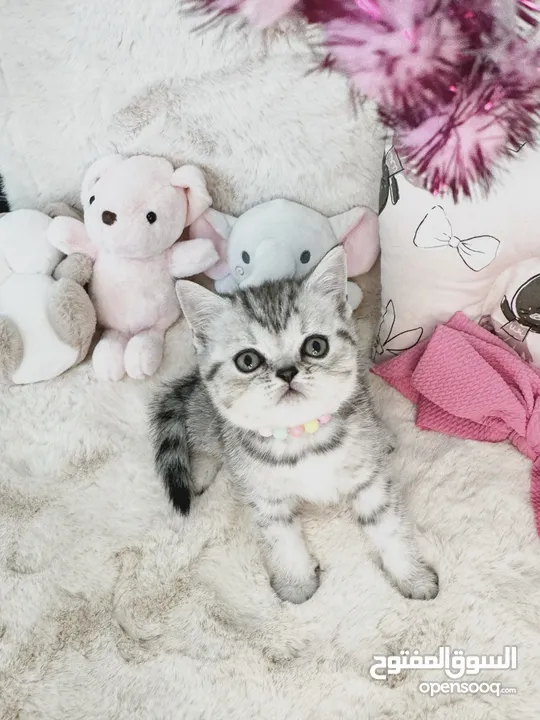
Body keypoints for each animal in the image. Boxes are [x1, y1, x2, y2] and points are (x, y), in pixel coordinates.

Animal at [150, 250, 436, 604]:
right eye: (248, 360)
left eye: (315, 346)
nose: (287, 372)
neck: (305, 438)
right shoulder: (267, 499)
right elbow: (282, 540)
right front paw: (296, 584)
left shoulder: (371, 482)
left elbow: (390, 528)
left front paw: (412, 576)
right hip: (208, 415)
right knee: (200, 427)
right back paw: (201, 468)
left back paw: (382, 435)